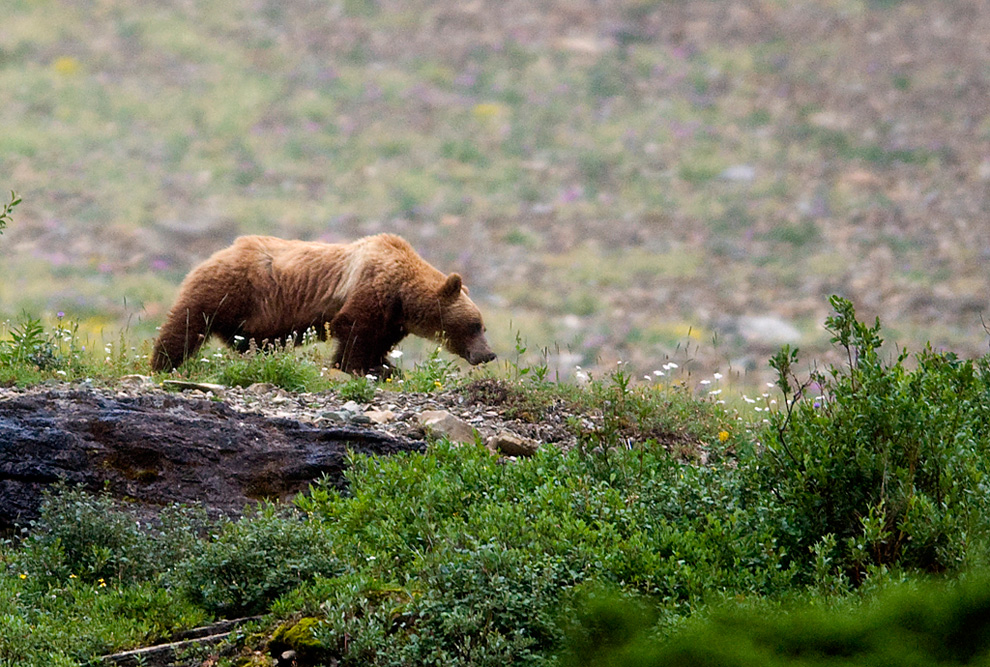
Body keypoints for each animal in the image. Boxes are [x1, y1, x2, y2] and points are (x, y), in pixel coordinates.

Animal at [149, 232, 496, 374]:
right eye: (475, 324)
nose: (488, 354)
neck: (403, 293)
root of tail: (216, 254)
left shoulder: (392, 317)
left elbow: (376, 339)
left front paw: (385, 366)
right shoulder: (369, 288)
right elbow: (354, 330)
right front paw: (360, 367)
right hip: (230, 288)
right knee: (187, 324)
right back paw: (164, 362)